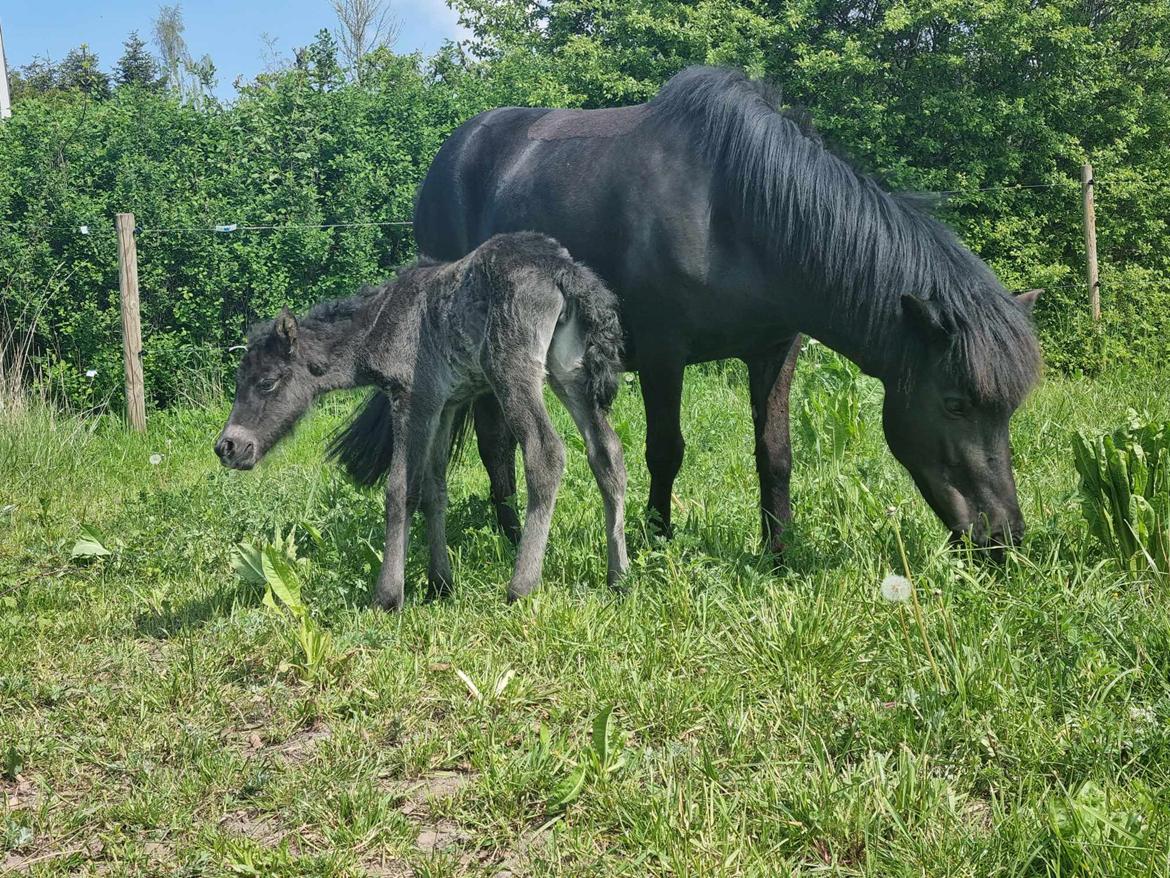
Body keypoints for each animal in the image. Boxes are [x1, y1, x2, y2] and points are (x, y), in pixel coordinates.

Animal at [214, 230, 627, 608]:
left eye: (267, 382)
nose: (228, 447)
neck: (380, 321)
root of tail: (561, 268)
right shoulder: (444, 406)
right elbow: (433, 488)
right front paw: (439, 585)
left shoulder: (412, 399)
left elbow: (401, 490)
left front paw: (388, 595)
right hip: (569, 372)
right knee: (607, 453)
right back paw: (618, 577)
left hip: (513, 371)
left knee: (546, 453)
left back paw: (522, 586)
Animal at [332, 67, 1043, 550]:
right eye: (956, 402)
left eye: (1007, 410)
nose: (1005, 537)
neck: (735, 209)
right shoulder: (662, 354)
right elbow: (665, 450)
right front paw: (656, 538)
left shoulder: (774, 351)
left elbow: (775, 452)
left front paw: (779, 551)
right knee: (491, 439)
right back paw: (511, 534)